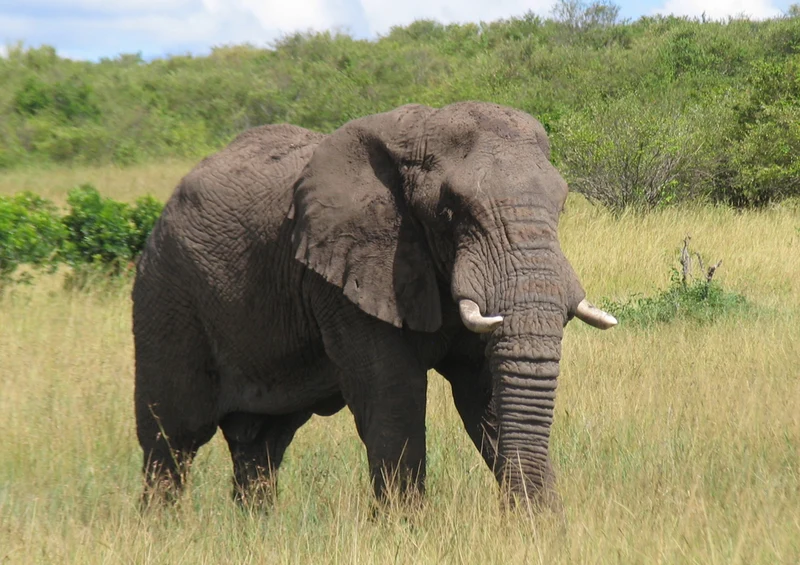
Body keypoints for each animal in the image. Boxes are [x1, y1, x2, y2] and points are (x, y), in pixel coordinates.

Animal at [132, 101, 617, 510]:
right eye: (450, 210)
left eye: (562, 203)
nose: (518, 517)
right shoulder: (343, 276)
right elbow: (393, 396)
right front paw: (408, 534)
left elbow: (484, 392)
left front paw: (541, 529)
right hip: (167, 295)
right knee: (171, 439)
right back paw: (163, 531)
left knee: (261, 444)